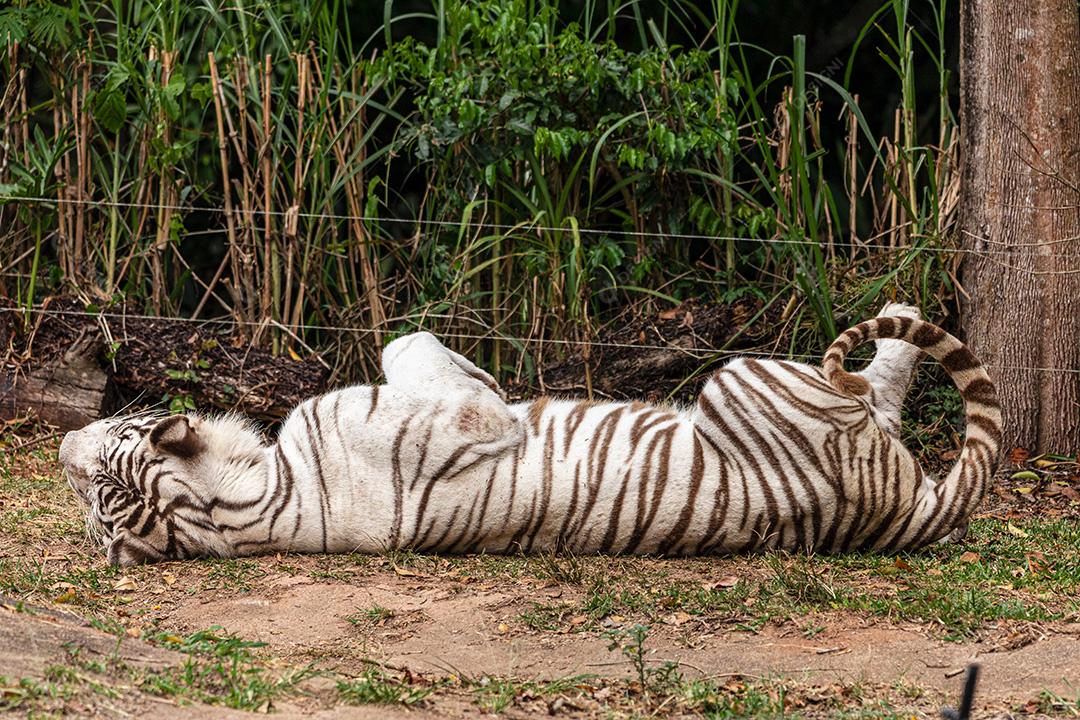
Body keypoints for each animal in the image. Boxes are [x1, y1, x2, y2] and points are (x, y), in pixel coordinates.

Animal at [59, 303, 1002, 566]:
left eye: (94, 472)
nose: (62, 447)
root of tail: (908, 512)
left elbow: (407, 341)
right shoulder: (460, 419)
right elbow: (428, 360)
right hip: (744, 376)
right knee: (871, 383)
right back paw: (885, 331)